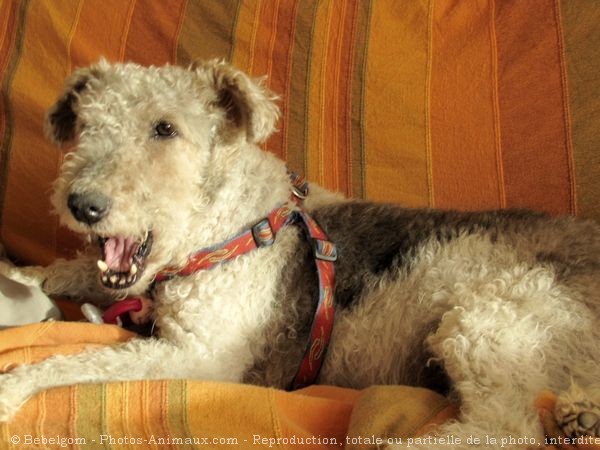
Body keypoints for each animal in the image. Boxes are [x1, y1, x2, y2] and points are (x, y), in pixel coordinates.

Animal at [0, 59, 596, 446]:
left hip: (487, 322)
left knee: (502, 428)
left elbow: (79, 360)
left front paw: (12, 387)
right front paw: (23, 274)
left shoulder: (198, 357)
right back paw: (579, 414)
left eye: (165, 128)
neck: (229, 225)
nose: (83, 204)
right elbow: (69, 272)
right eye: (85, 122)